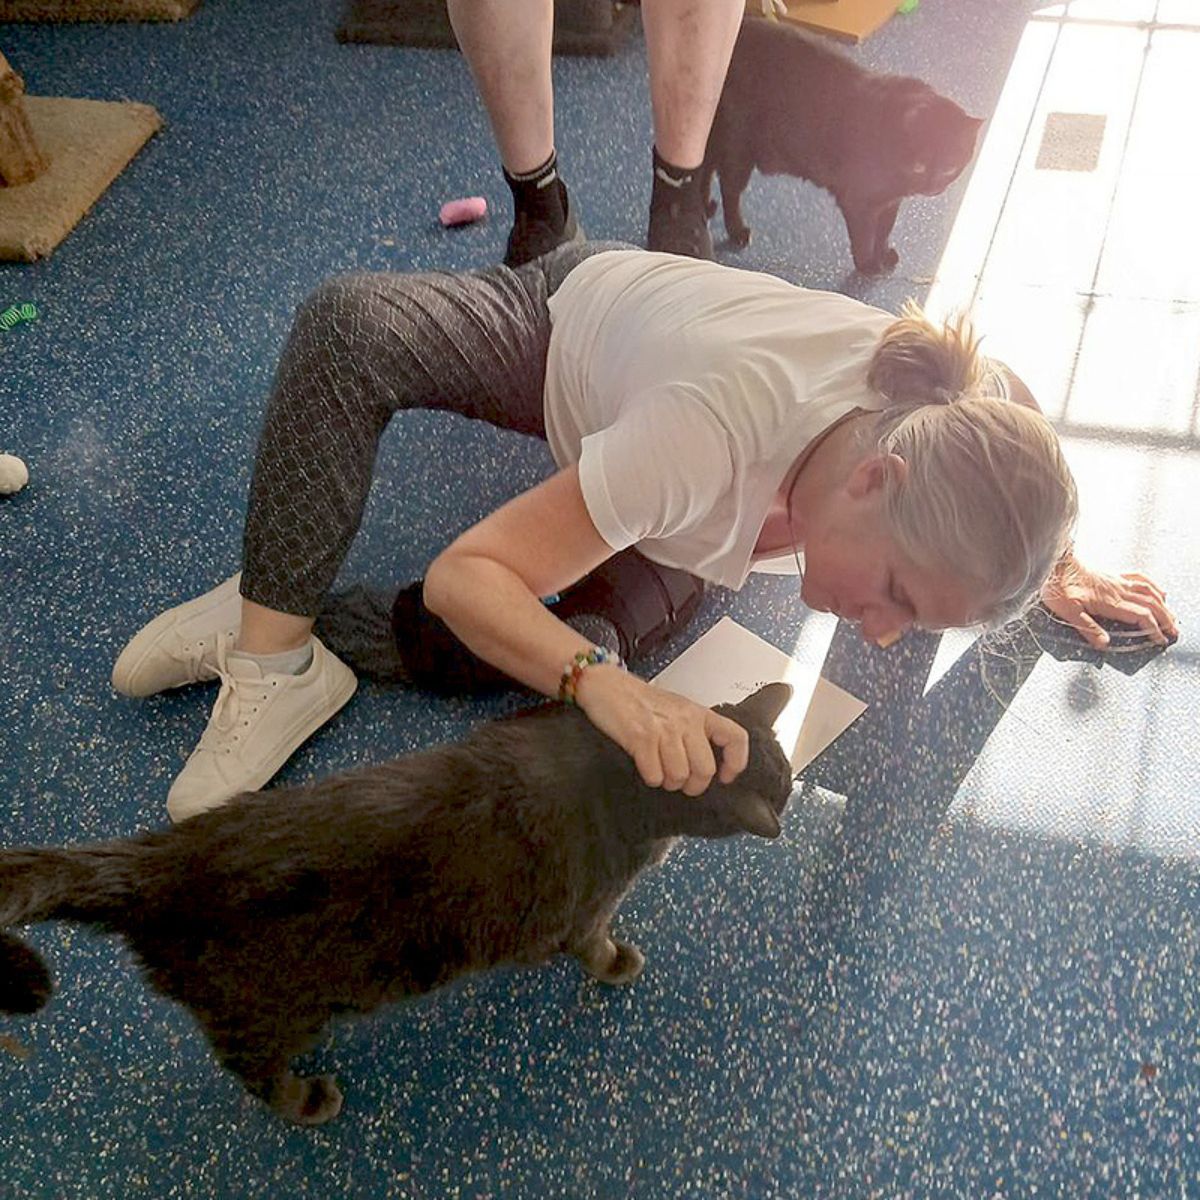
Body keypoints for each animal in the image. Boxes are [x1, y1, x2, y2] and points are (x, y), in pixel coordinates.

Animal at [2, 686, 796, 1123]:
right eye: (784, 791)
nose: (785, 811)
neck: (628, 767)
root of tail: (158, 861)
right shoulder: (591, 909)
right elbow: (595, 945)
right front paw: (616, 964)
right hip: (260, 1012)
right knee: (253, 1073)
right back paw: (307, 1100)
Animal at [705, 17, 979, 274]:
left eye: (949, 167)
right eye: (920, 166)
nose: (933, 187)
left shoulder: (891, 202)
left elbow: (884, 230)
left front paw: (884, 254)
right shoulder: (858, 202)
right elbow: (863, 237)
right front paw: (868, 267)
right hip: (738, 150)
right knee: (729, 191)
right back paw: (736, 231)